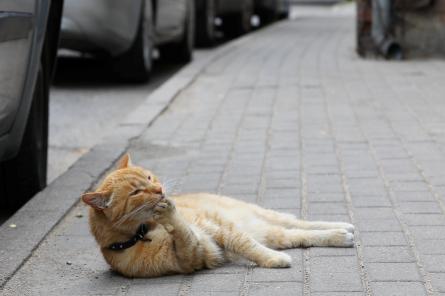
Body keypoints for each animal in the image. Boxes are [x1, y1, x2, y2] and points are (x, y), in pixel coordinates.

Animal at [81, 154, 356, 276]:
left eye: (149, 177)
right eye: (136, 191)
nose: (160, 191)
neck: (144, 231)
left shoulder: (216, 229)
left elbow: (246, 246)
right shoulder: (194, 256)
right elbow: (184, 236)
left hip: (259, 216)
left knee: (299, 221)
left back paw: (343, 226)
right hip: (275, 233)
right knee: (298, 233)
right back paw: (341, 235)